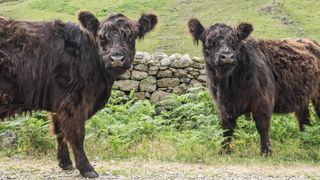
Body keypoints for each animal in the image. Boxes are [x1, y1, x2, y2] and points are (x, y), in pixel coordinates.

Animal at [0, 11, 158, 179]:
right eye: (102, 37)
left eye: (131, 36)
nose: (116, 59)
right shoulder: (73, 101)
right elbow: (76, 135)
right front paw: (86, 168)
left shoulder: (59, 104)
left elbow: (60, 132)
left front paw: (65, 163)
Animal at [188, 19, 320, 155]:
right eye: (209, 42)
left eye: (234, 41)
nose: (227, 57)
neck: (228, 86)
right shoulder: (222, 106)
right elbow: (226, 128)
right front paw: (224, 151)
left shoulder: (262, 100)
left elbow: (262, 125)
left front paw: (266, 152)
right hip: (302, 98)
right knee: (304, 120)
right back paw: (305, 144)